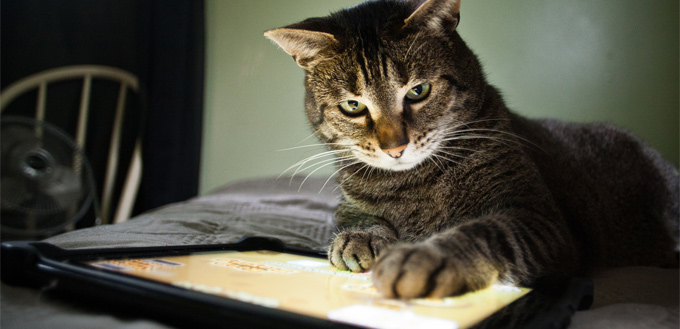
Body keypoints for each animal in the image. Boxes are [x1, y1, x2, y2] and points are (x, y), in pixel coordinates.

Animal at [262, 0, 676, 298]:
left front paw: (424, 257)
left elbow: (485, 231)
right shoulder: (351, 202)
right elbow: (352, 217)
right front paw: (360, 237)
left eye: (418, 91)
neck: (411, 184)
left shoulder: (540, 220)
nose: (395, 148)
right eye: (353, 106)